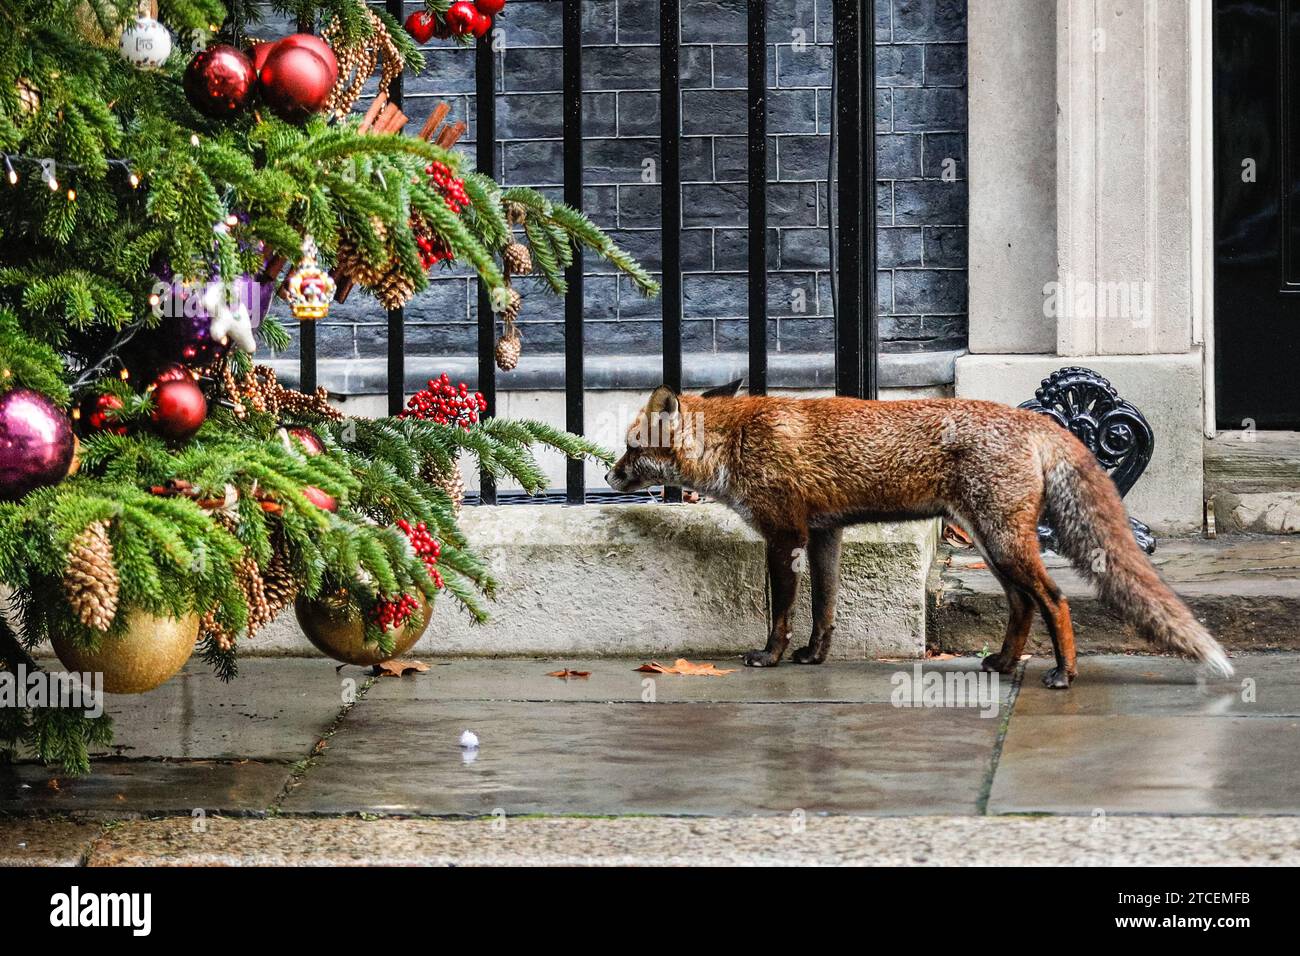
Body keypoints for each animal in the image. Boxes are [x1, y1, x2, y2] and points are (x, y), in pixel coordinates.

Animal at [603, 382, 1232, 686]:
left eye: (632, 446)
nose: (607, 475)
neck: (734, 443)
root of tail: (1034, 420)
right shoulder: (825, 535)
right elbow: (825, 609)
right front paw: (814, 657)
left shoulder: (783, 536)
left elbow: (781, 610)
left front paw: (771, 656)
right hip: (992, 545)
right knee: (1022, 605)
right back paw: (1004, 665)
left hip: (1004, 543)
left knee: (1053, 600)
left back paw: (1063, 674)